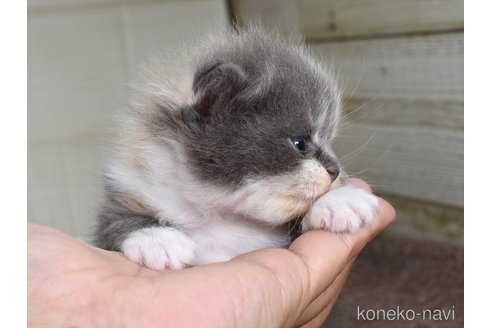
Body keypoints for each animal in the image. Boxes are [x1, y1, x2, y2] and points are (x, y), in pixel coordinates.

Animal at [94, 28, 378, 270]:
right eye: (300, 143)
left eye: (330, 140)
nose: (335, 170)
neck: (218, 213)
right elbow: (113, 223)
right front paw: (156, 238)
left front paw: (340, 200)